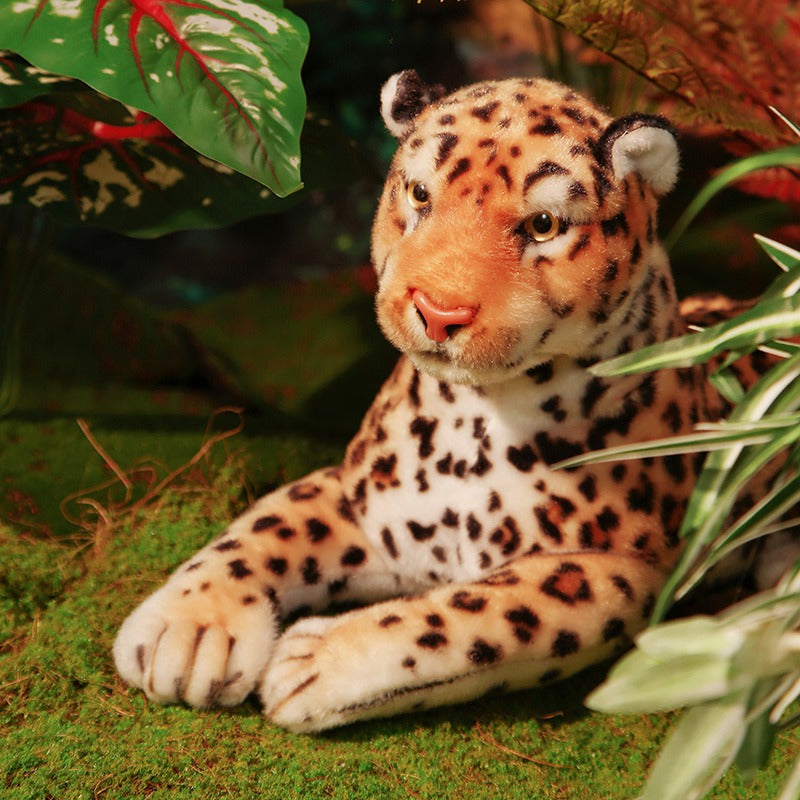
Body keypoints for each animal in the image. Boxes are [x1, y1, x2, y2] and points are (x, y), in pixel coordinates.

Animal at [115, 70, 766, 733]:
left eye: (544, 225)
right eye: (421, 194)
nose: (438, 312)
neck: (470, 420)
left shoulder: (618, 567)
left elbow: (478, 614)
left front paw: (315, 658)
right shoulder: (362, 496)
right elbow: (264, 528)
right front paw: (186, 631)